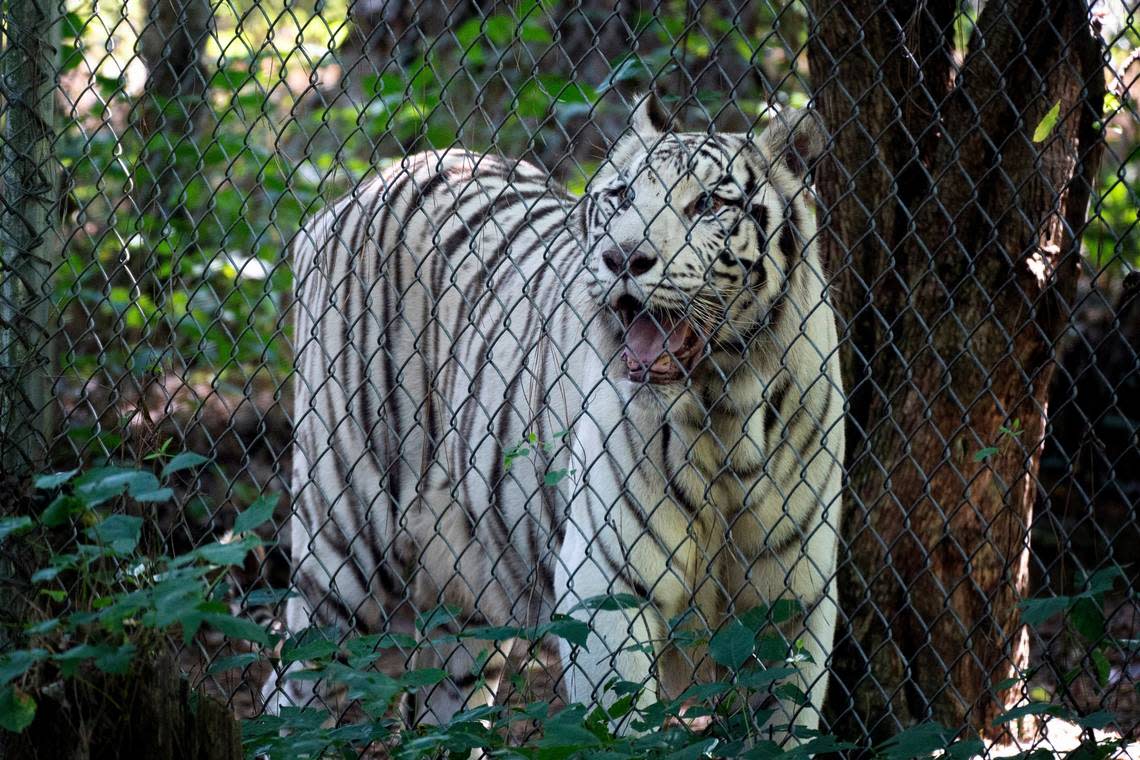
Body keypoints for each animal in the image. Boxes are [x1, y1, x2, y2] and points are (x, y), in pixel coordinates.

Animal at [262, 90, 843, 742]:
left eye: (709, 204)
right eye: (622, 196)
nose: (622, 257)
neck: (726, 410)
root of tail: (357, 191)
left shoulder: (796, 604)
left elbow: (787, 726)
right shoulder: (606, 590)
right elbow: (623, 732)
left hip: (461, 614)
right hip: (346, 558)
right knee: (293, 688)